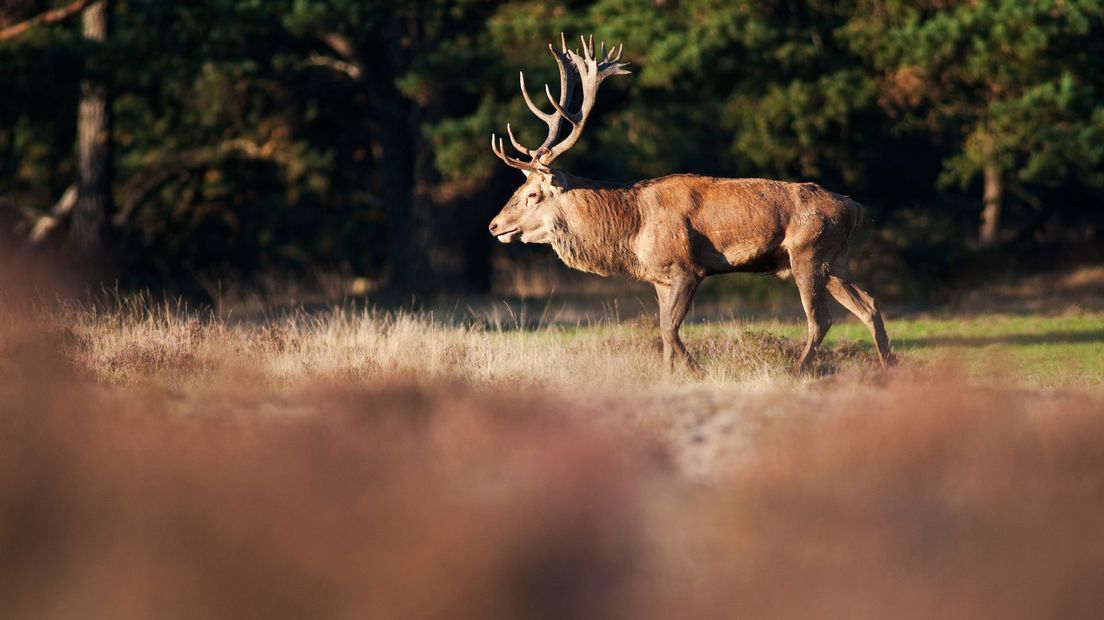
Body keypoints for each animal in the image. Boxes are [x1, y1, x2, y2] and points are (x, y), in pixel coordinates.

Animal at [487, 35, 892, 377]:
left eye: (532, 194)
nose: (494, 225)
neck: (631, 230)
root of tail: (855, 208)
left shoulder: (687, 267)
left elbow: (669, 329)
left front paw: (699, 372)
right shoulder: (659, 278)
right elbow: (663, 331)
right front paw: (670, 376)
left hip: (808, 252)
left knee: (820, 319)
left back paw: (797, 371)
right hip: (836, 260)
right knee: (869, 305)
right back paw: (890, 367)